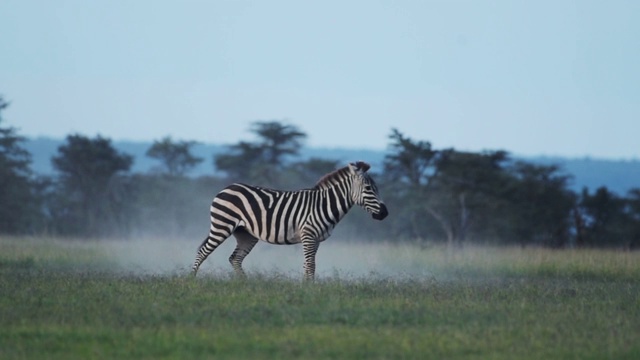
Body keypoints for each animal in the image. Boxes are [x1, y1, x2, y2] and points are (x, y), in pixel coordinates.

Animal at [191, 161, 390, 282]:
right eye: (368, 188)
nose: (385, 213)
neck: (325, 204)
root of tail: (226, 187)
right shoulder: (308, 235)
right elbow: (311, 265)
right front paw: (310, 290)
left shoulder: (315, 239)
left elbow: (307, 265)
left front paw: (305, 287)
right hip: (222, 225)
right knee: (203, 252)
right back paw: (191, 281)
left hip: (246, 234)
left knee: (235, 258)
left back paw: (246, 284)